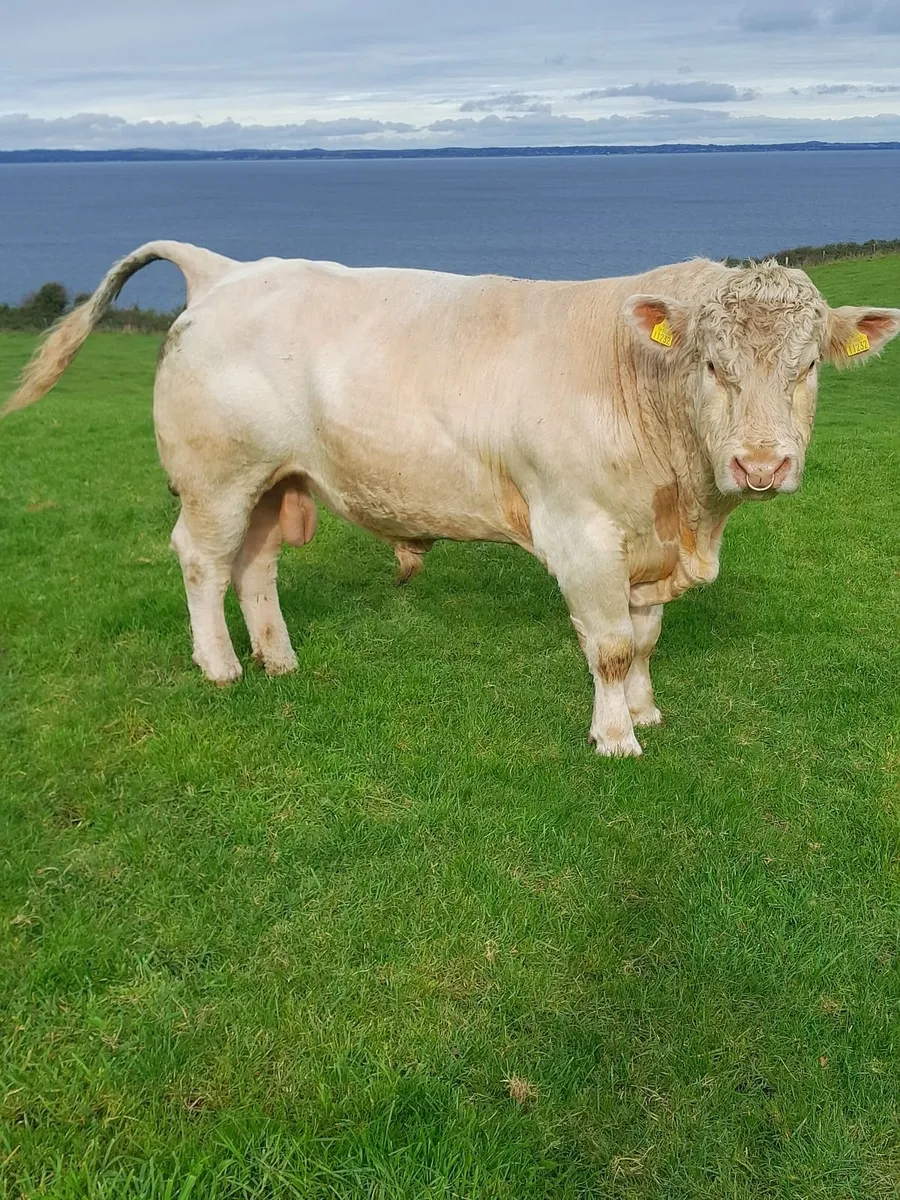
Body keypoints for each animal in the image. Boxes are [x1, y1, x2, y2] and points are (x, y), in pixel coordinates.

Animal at [4, 241, 898, 756]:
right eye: (713, 365)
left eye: (807, 368)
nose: (760, 464)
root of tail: (228, 271)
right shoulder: (581, 533)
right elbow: (610, 646)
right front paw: (614, 737)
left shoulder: (643, 543)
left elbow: (643, 643)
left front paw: (644, 713)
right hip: (217, 476)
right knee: (201, 560)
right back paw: (221, 666)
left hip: (274, 480)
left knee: (254, 566)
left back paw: (278, 659)